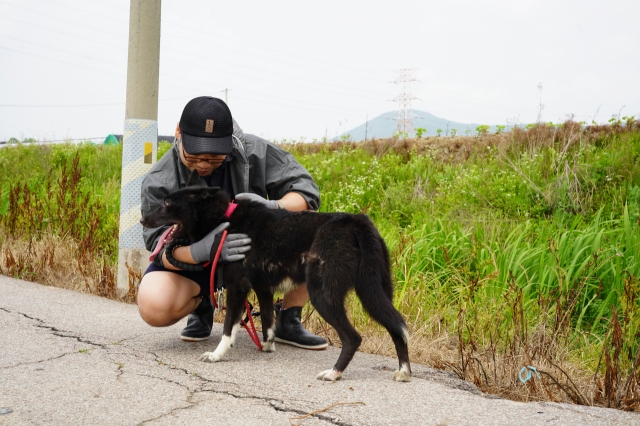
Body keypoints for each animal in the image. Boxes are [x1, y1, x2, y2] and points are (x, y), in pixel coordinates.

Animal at [141, 186, 412, 382]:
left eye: (166, 203)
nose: (143, 220)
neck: (226, 219)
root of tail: (355, 222)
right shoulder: (263, 288)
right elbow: (268, 321)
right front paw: (267, 346)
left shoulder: (237, 286)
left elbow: (229, 327)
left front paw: (217, 355)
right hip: (375, 291)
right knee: (397, 327)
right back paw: (404, 371)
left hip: (322, 293)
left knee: (353, 337)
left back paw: (334, 373)